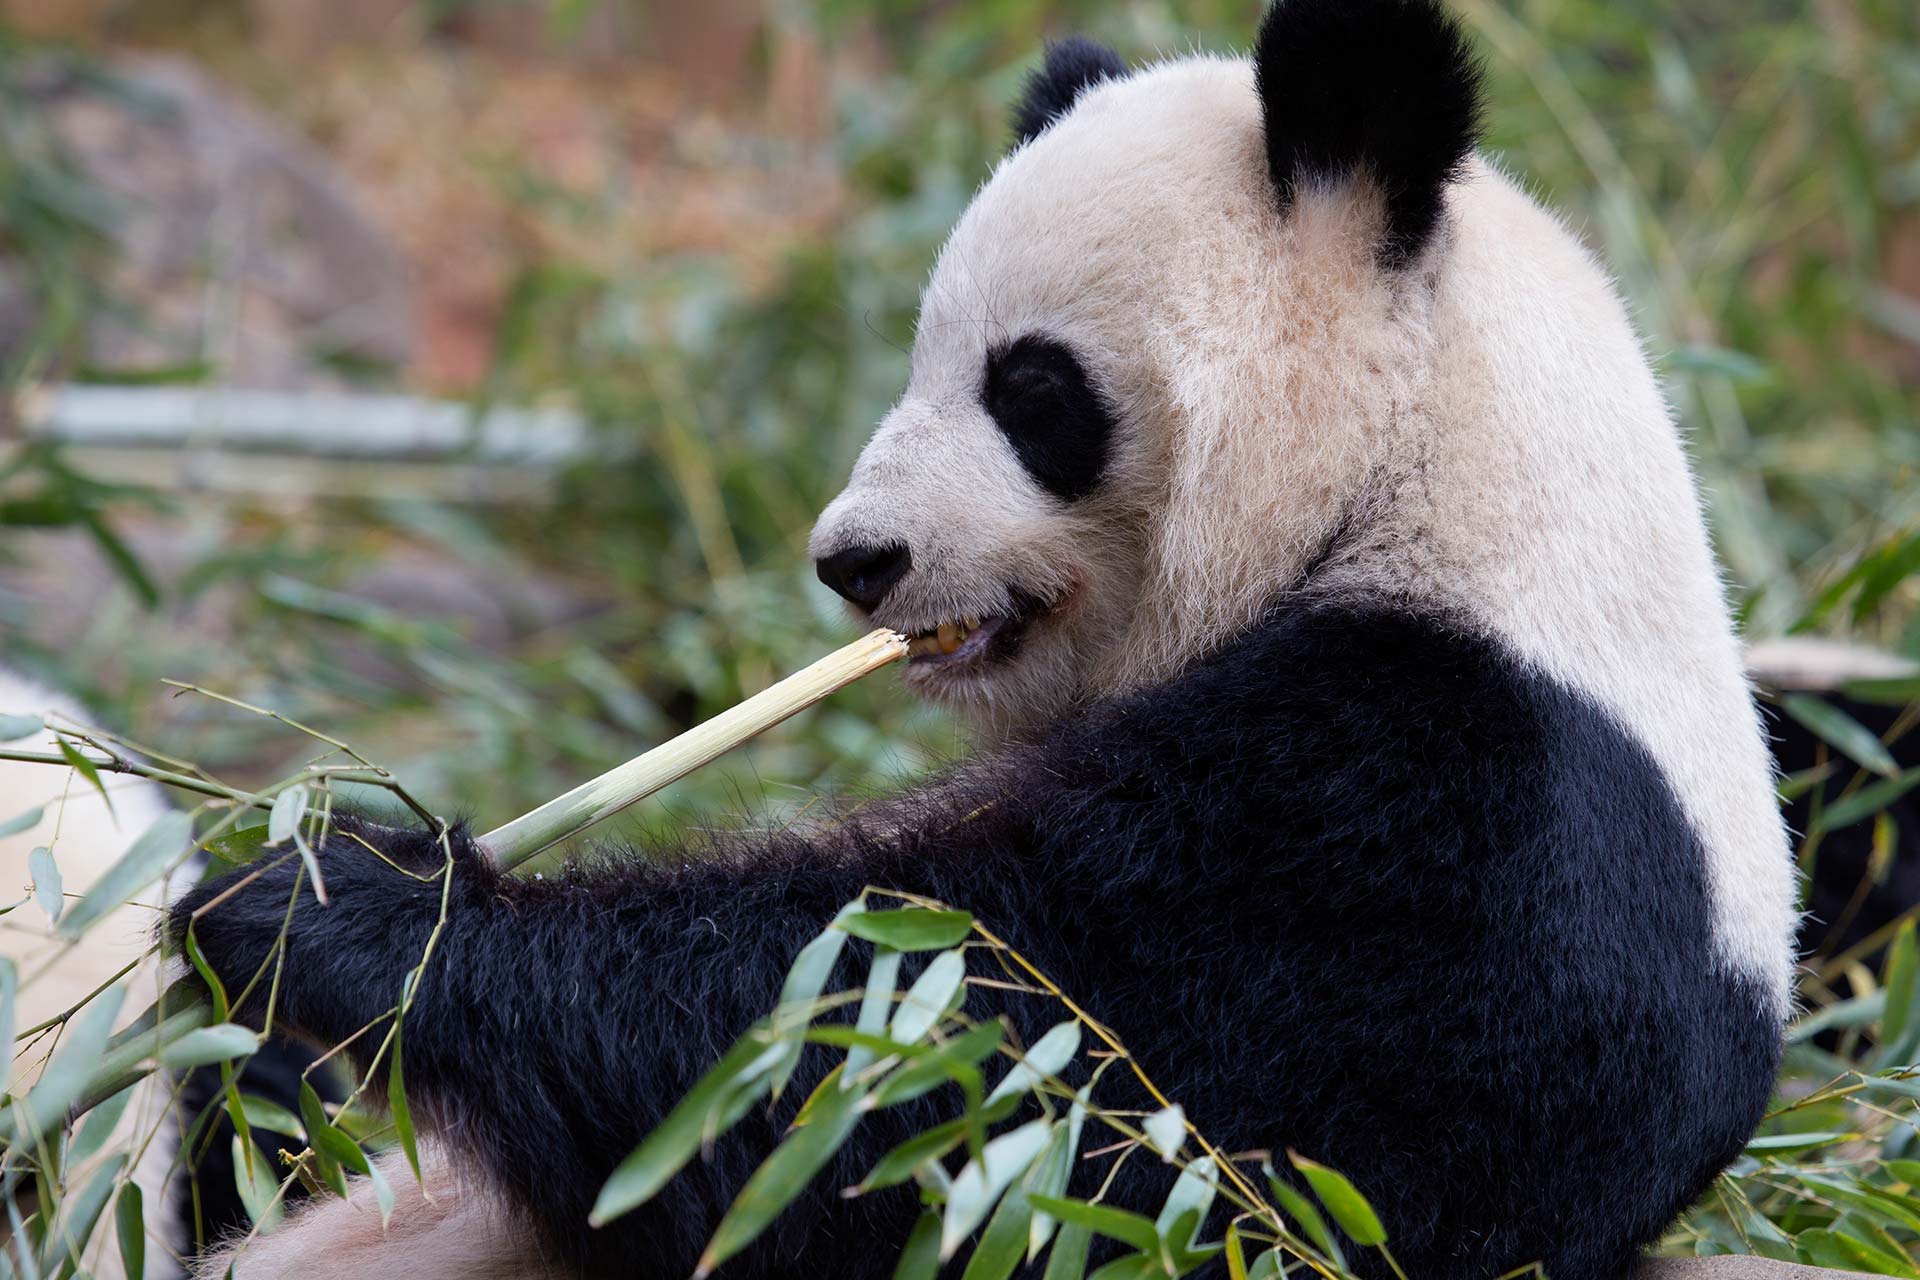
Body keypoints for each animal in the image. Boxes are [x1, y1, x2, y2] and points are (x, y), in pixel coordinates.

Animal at [165, 2, 1797, 1280]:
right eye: (920, 358)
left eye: (1032, 387)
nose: (854, 559)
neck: (1427, 466)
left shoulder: (1454, 825)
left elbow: (965, 1066)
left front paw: (343, 902)